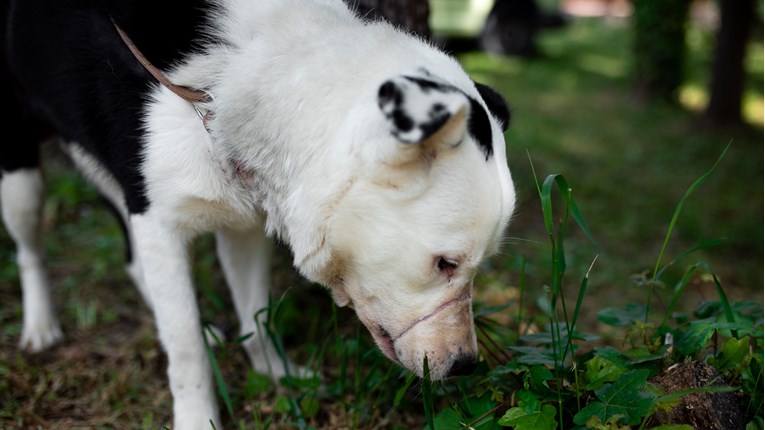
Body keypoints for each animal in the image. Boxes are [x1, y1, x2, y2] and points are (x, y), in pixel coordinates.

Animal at [1, 0, 512, 424]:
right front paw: (196, 418)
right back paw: (41, 326)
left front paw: (275, 372)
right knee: (30, 250)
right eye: (445, 263)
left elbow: (256, 314)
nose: (466, 365)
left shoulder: (238, 220)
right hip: (20, 175)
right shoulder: (157, 217)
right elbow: (184, 349)